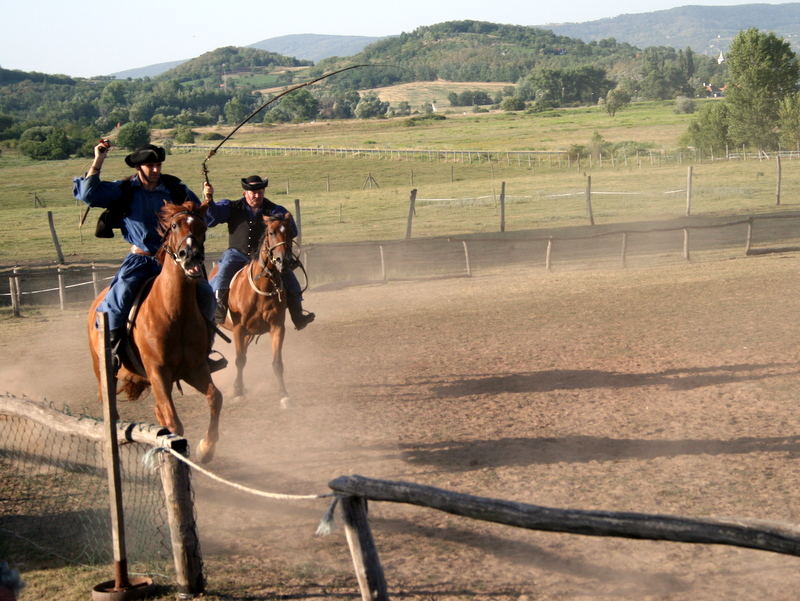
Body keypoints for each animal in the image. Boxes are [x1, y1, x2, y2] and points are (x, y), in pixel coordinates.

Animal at [86, 199, 222, 462]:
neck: (174, 312)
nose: (190, 255)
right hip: (103, 371)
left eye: (202, 226)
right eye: (174, 225)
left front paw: (206, 448)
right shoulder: (158, 372)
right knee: (110, 408)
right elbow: (174, 423)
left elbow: (214, 398)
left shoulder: (195, 369)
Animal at [212, 213, 294, 406]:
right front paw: (239, 392)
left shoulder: (277, 327)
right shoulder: (238, 329)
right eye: (271, 232)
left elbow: (277, 363)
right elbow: (240, 360)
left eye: (288, 232)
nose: (283, 260)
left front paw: (283, 394)